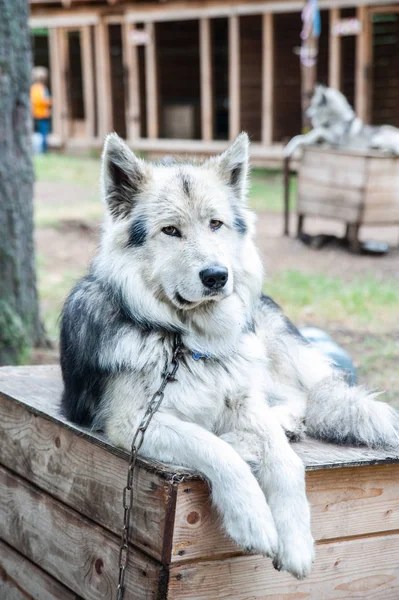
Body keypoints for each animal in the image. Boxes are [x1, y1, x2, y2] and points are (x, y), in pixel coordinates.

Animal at [60, 134, 399, 580]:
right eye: (171, 231)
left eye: (215, 224)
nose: (217, 276)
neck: (188, 342)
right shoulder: (133, 423)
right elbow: (212, 448)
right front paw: (253, 520)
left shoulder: (242, 398)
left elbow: (287, 462)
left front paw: (296, 540)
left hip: (264, 358)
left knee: (298, 398)